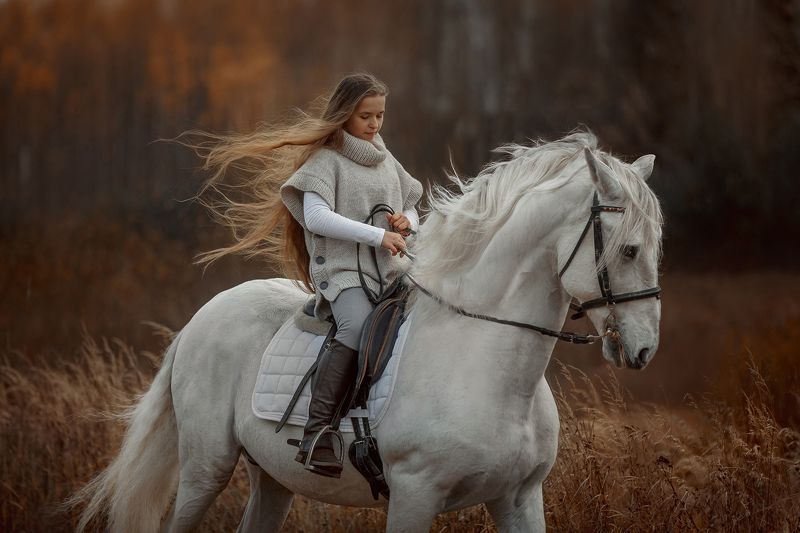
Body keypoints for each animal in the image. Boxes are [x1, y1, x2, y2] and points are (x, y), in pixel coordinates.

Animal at [73, 131, 663, 532]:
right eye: (629, 250)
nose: (643, 350)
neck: (487, 363)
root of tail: (202, 317)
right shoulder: (415, 494)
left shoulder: (519, 497)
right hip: (205, 468)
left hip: (273, 478)